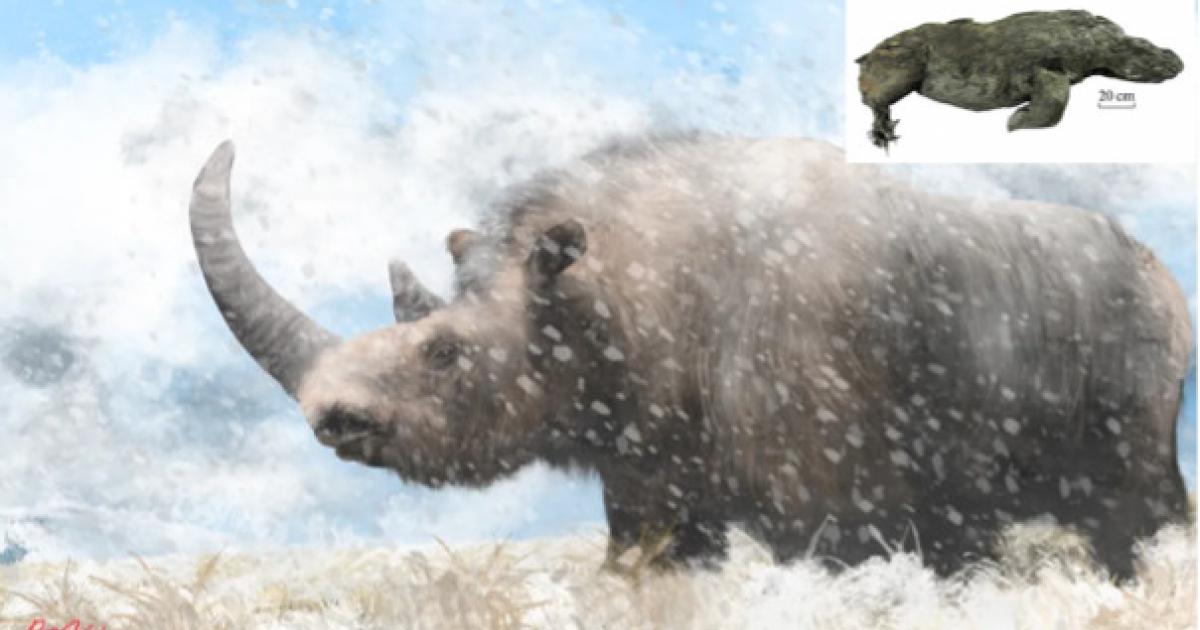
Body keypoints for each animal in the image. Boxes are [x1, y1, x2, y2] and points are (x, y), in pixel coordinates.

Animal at [190, 135, 1191, 579]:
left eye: (443, 352)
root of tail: (1165, 272)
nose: (334, 420)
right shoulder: (650, 488)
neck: (610, 292)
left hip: (1140, 364)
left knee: (1128, 515)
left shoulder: (839, 510)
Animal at [857, 10, 1185, 150]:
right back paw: (883, 131)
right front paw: (1016, 121)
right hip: (905, 63)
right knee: (875, 99)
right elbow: (1054, 104)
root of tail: (866, 56)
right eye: (1135, 53)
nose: (1177, 62)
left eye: (1143, 42)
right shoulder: (1048, 68)